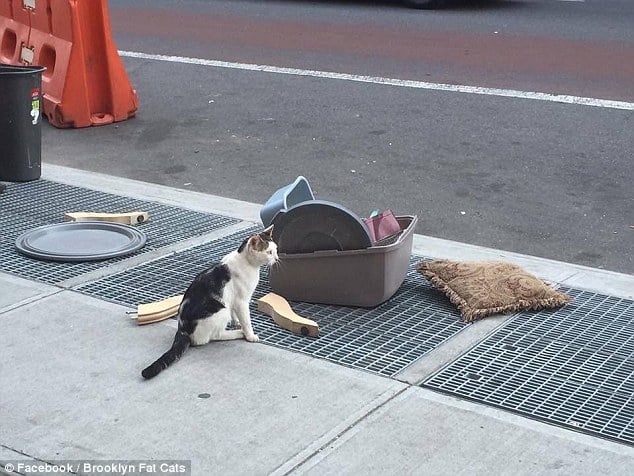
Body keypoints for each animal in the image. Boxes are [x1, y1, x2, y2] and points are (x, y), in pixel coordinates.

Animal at [143, 227, 276, 380]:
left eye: (276, 250)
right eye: (269, 252)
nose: (277, 258)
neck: (247, 263)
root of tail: (182, 330)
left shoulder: (233, 300)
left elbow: (235, 314)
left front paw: (236, 322)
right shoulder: (242, 301)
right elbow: (246, 321)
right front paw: (250, 335)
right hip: (221, 311)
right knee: (212, 337)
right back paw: (238, 333)